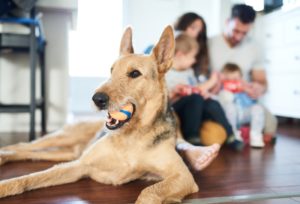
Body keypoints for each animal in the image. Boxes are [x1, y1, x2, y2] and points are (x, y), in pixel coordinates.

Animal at [0, 26, 220, 203]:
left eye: (134, 74)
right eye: (111, 70)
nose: (97, 99)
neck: (132, 136)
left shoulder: (182, 176)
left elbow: (149, 191)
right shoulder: (80, 165)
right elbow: (29, 178)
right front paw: (5, 186)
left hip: (68, 152)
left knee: (31, 153)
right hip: (65, 138)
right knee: (25, 146)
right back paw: (4, 153)